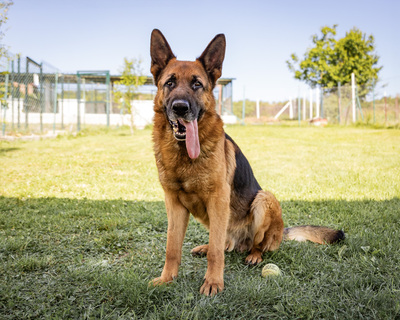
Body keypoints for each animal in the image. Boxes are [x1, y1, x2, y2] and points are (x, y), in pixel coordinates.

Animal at [150, 29, 344, 296]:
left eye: (197, 84)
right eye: (169, 83)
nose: (180, 108)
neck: (183, 156)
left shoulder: (218, 200)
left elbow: (216, 253)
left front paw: (213, 282)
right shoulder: (174, 204)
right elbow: (172, 247)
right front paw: (167, 278)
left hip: (264, 199)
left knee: (252, 244)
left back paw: (254, 255)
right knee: (223, 242)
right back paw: (208, 246)